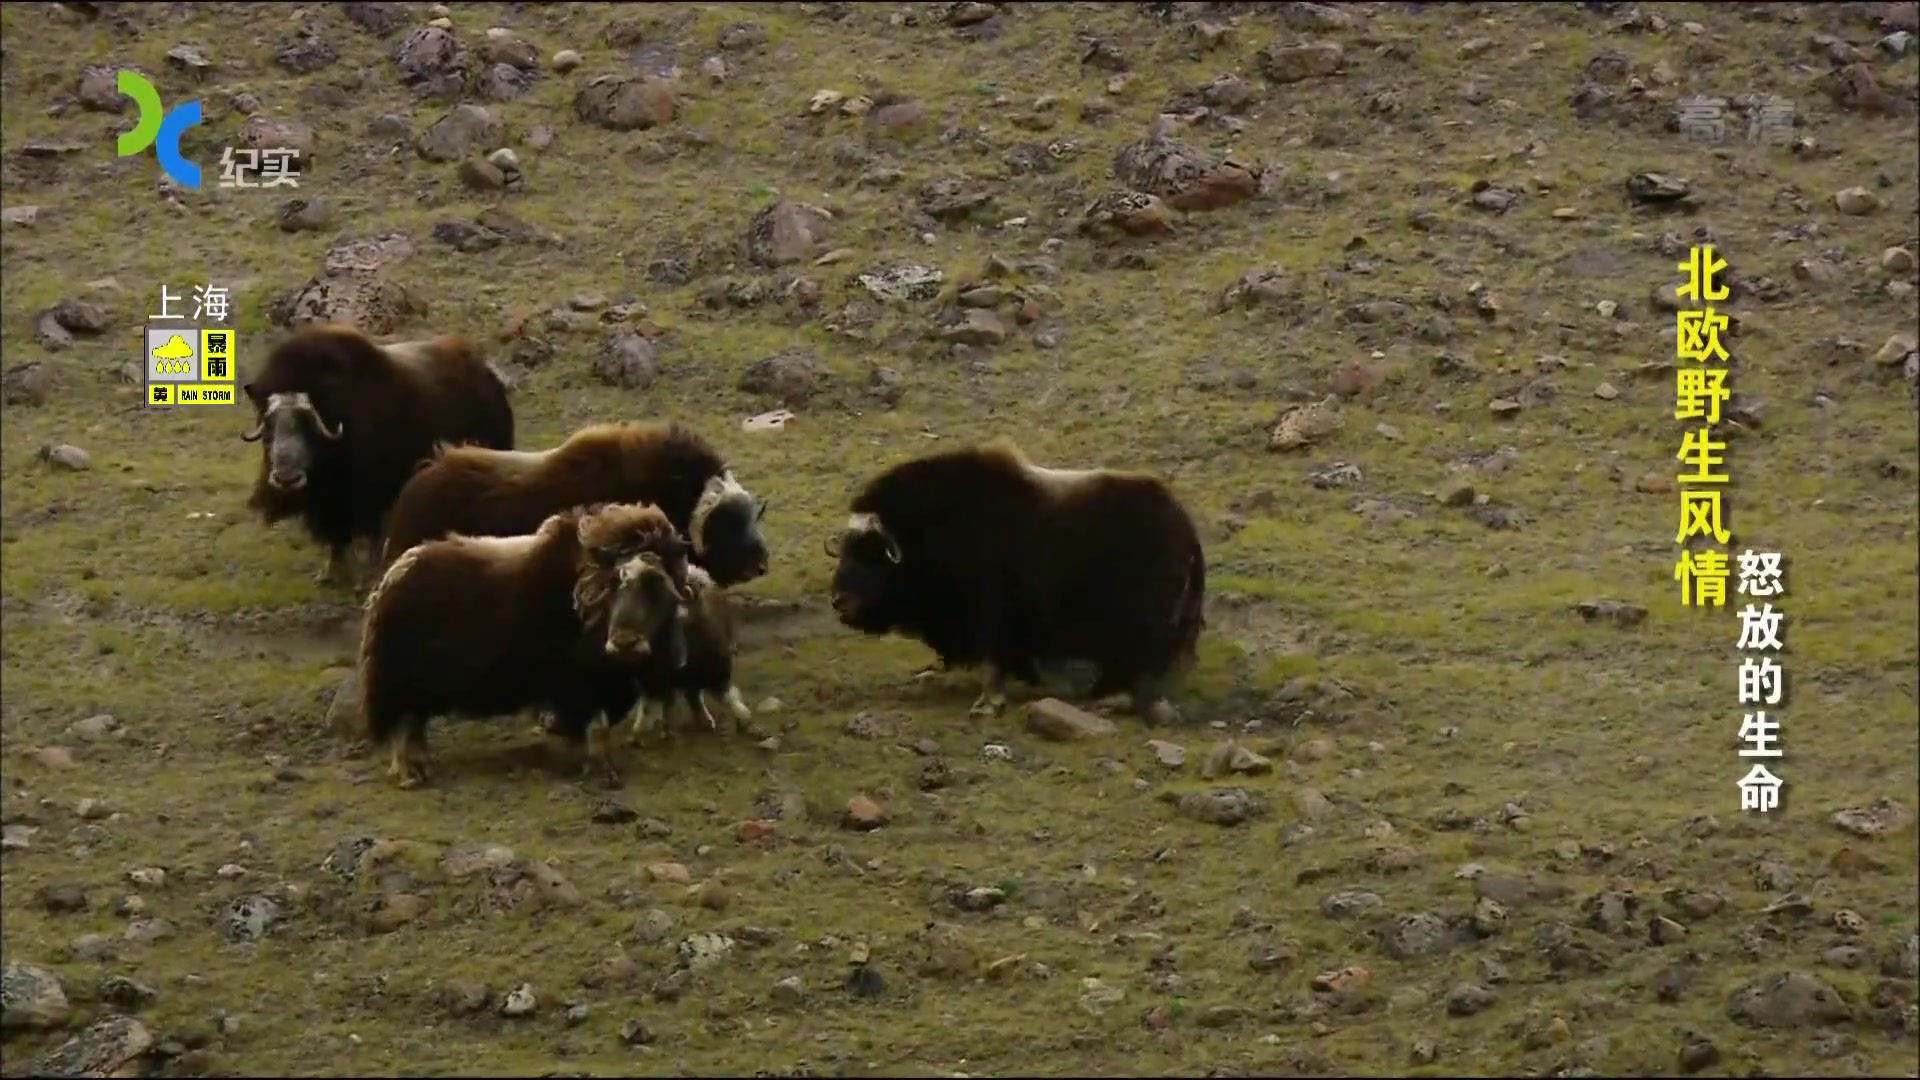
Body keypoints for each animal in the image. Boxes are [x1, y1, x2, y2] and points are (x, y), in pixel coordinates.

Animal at [243, 320, 514, 584]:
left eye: (307, 423)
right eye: (268, 425)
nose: (285, 478)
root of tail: (485, 371)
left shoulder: (369, 493)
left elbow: (370, 535)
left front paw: (368, 575)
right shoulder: (330, 502)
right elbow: (336, 537)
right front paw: (330, 573)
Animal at [357, 499, 695, 787]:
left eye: (655, 584)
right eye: (612, 586)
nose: (624, 644)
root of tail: (391, 579)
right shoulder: (579, 684)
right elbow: (596, 727)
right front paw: (602, 769)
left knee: (413, 727)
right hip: (399, 684)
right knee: (402, 727)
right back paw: (410, 775)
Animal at [821, 434, 1198, 722]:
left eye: (869, 554)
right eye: (846, 550)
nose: (838, 601)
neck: (932, 532)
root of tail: (1184, 527)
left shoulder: (990, 611)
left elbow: (993, 659)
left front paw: (988, 704)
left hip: (1139, 621)